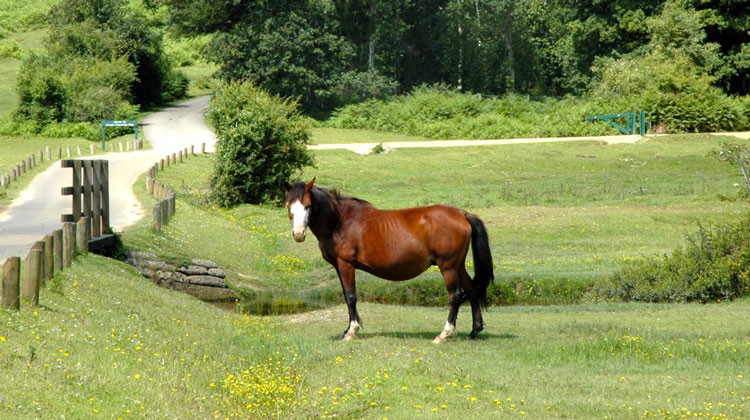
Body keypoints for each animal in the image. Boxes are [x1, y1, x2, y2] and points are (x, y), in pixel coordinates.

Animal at [284, 179, 496, 342]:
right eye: (289, 207)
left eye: (308, 206)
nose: (298, 234)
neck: (340, 221)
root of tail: (462, 214)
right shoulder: (338, 266)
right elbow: (346, 295)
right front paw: (348, 329)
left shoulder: (346, 264)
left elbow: (351, 297)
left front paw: (352, 331)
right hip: (458, 266)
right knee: (472, 291)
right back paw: (474, 331)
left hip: (448, 266)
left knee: (456, 296)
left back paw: (443, 334)